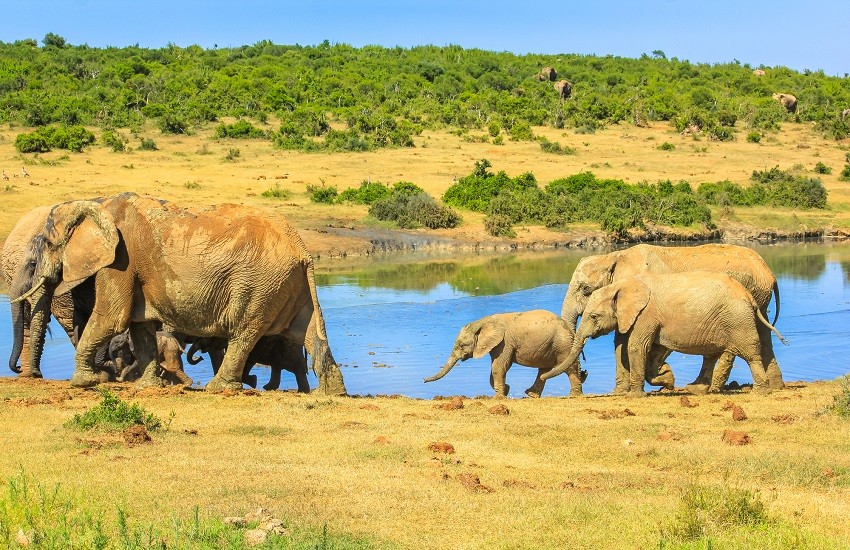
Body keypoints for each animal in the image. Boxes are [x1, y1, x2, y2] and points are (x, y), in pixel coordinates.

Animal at [8, 194, 346, 396]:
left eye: (44, 250)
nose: (25, 373)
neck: (95, 203)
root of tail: (302, 249)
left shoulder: (120, 260)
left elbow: (111, 318)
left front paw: (83, 383)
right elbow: (140, 327)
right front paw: (149, 386)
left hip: (259, 283)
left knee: (244, 331)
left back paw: (218, 387)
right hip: (287, 283)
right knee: (308, 331)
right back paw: (331, 392)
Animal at [420, 312, 588, 398]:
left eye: (461, 345)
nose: (423, 380)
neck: (483, 321)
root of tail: (571, 329)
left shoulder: (504, 342)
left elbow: (499, 366)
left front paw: (499, 397)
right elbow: (497, 367)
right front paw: (505, 390)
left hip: (562, 343)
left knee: (568, 367)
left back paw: (574, 396)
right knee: (544, 369)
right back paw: (531, 394)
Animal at [556, 244, 780, 394]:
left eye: (586, 290)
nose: (584, 372)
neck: (615, 257)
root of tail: (768, 271)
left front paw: (664, 379)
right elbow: (621, 340)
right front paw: (620, 392)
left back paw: (710, 388)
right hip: (758, 300)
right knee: (763, 336)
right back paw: (776, 386)